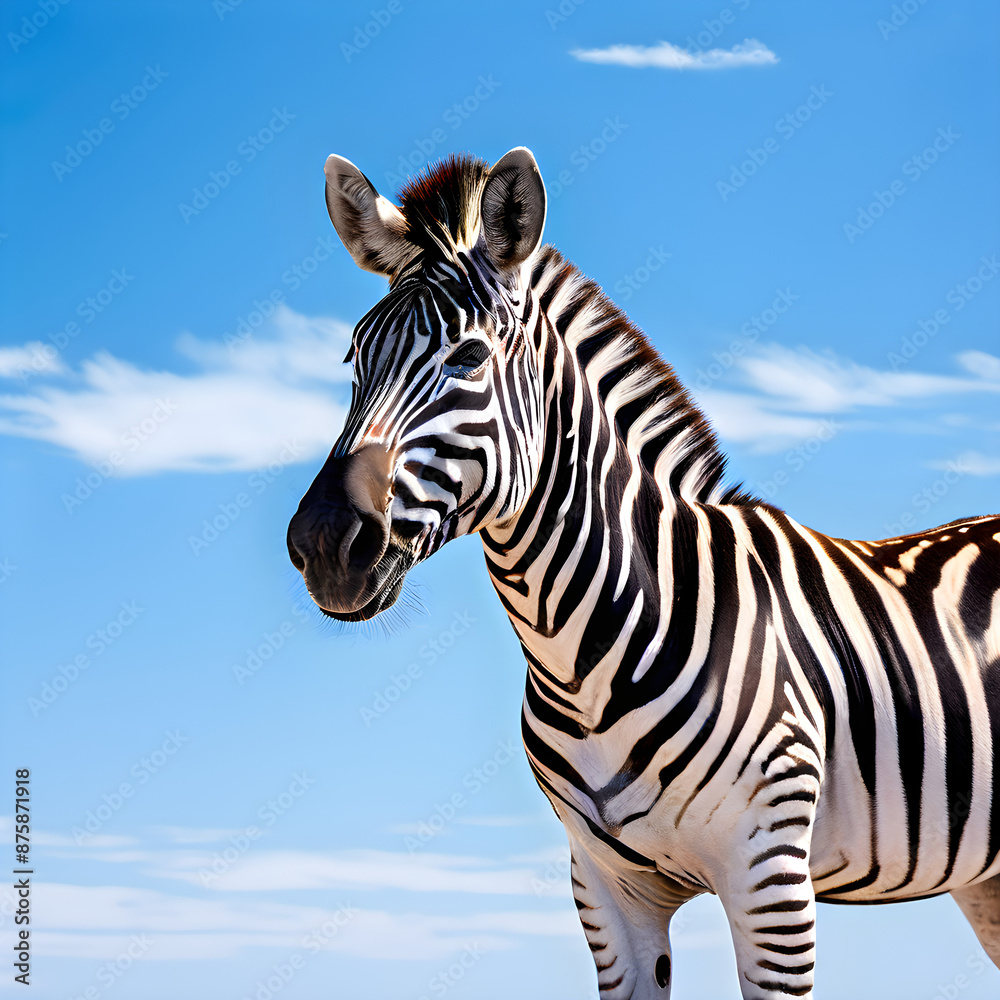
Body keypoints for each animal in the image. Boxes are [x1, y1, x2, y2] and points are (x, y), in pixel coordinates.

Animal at [286, 147, 1000, 999]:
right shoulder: (604, 888)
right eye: (353, 361)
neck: (584, 659)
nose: (324, 542)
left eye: (469, 357)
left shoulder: (770, 878)